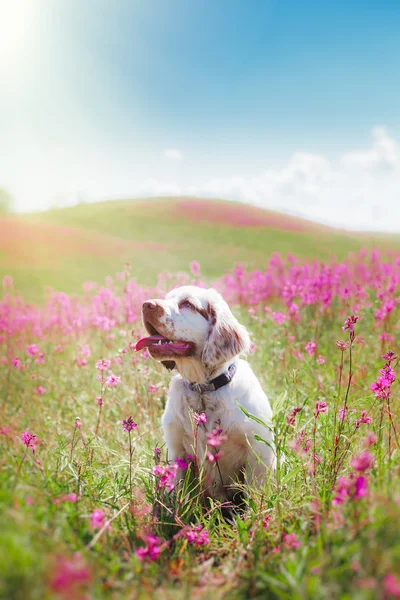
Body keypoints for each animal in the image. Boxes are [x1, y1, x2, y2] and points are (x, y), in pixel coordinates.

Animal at [136, 284, 274, 502]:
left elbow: (254, 492)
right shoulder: (176, 448)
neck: (202, 390)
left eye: (187, 304)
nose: (146, 305)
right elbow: (175, 490)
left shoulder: (258, 450)